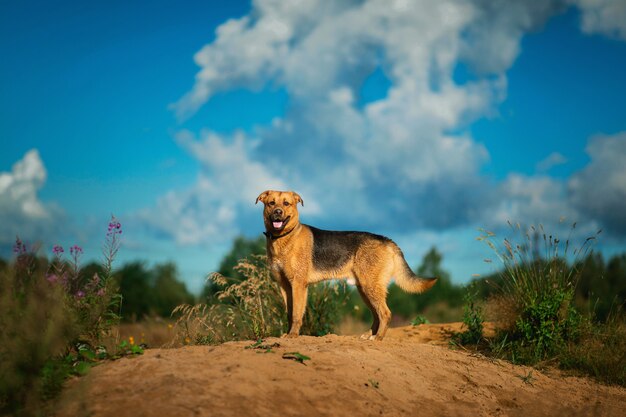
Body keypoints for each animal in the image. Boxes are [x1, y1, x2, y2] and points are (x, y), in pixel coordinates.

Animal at [254, 190, 434, 340]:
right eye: (271, 203)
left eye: (286, 203)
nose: (278, 212)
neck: (284, 238)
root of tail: (386, 240)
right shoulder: (285, 286)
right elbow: (289, 313)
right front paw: (287, 333)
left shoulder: (298, 285)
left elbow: (296, 314)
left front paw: (293, 335)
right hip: (364, 289)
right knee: (377, 315)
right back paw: (369, 335)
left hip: (370, 287)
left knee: (385, 313)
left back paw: (378, 338)